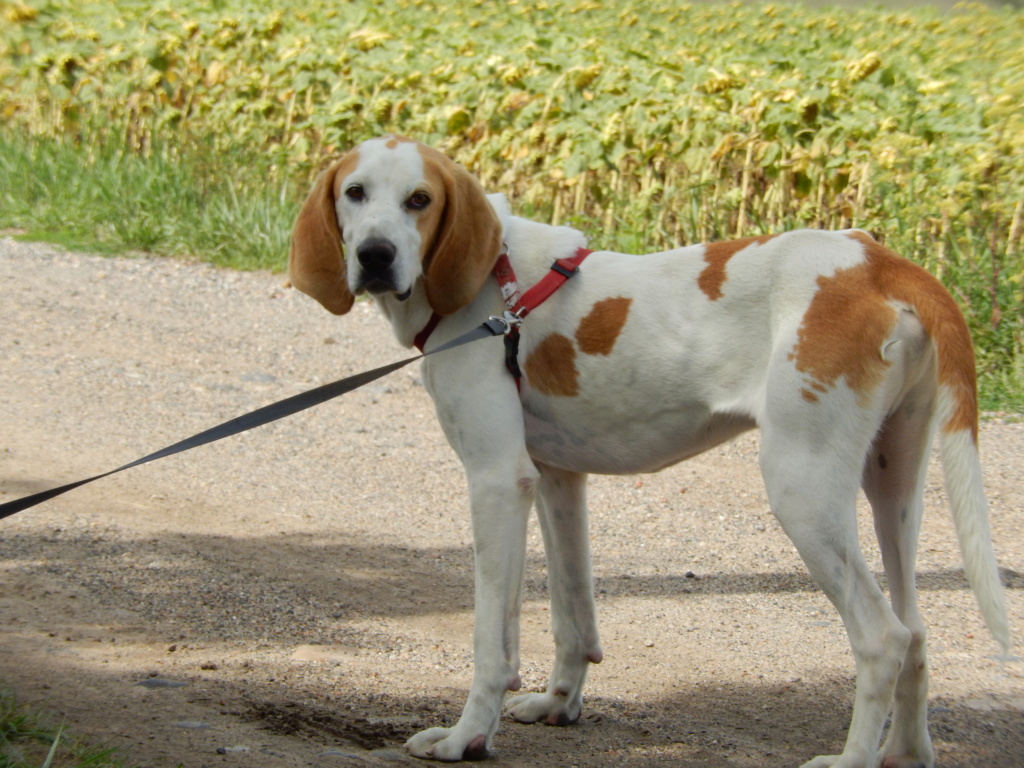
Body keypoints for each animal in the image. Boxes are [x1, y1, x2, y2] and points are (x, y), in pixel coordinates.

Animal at [288, 137, 1007, 768]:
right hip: (892, 487)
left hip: (802, 489)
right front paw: (558, 703)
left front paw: (467, 737)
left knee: (883, 637)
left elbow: (492, 640)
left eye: (419, 200)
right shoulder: (555, 479)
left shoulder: (496, 481)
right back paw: (906, 752)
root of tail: (879, 262)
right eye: (355, 193)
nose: (375, 255)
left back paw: (853, 757)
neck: (492, 284)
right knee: (916, 631)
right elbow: (572, 614)